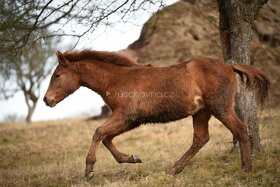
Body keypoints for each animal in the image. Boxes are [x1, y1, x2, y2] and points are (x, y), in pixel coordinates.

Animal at [43, 50, 270, 181]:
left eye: (57, 75)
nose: (47, 100)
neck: (117, 79)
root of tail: (229, 65)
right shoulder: (130, 120)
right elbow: (107, 138)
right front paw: (132, 158)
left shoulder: (125, 115)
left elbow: (98, 132)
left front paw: (89, 170)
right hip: (201, 112)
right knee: (201, 138)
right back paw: (173, 171)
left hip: (220, 107)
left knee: (240, 129)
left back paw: (246, 169)